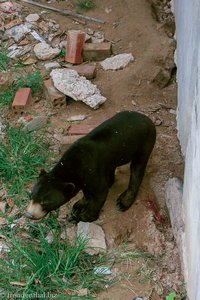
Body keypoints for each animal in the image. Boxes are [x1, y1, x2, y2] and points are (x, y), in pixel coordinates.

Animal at [25, 110, 156, 223]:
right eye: (31, 196)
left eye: (45, 203)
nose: (29, 215)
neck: (73, 165)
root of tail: (148, 119)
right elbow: (86, 191)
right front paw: (78, 205)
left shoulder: (91, 169)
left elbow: (100, 192)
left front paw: (81, 216)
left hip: (145, 143)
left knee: (137, 170)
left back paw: (123, 202)